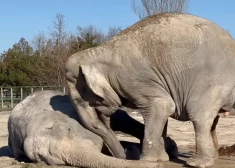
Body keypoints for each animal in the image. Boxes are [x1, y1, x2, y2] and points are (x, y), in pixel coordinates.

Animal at [65, 12, 235, 167]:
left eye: (81, 98)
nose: (125, 156)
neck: (99, 51)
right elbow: (163, 112)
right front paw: (162, 159)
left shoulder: (134, 79)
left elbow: (163, 105)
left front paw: (147, 161)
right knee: (211, 120)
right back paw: (211, 158)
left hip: (212, 81)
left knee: (198, 115)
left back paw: (197, 163)